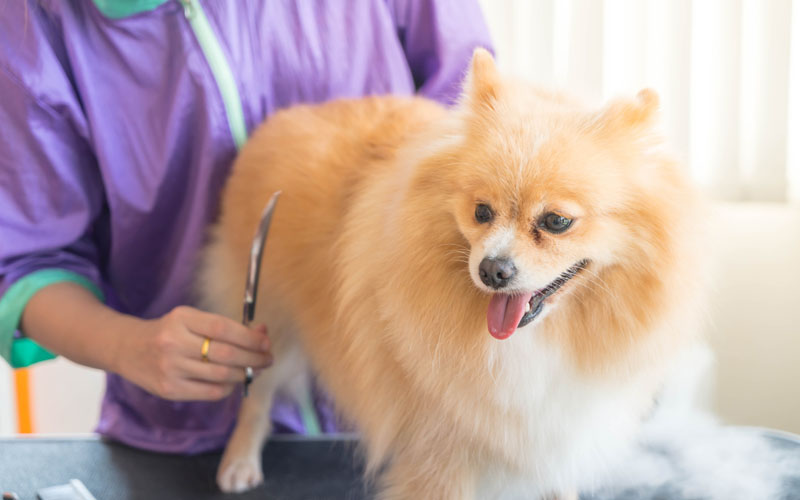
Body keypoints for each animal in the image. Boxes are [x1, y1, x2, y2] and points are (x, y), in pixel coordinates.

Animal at [197, 49, 704, 500]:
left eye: (557, 221)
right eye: (481, 212)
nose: (492, 269)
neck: (536, 340)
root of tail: (284, 118)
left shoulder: (552, 432)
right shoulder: (437, 452)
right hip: (266, 315)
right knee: (256, 395)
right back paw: (239, 462)